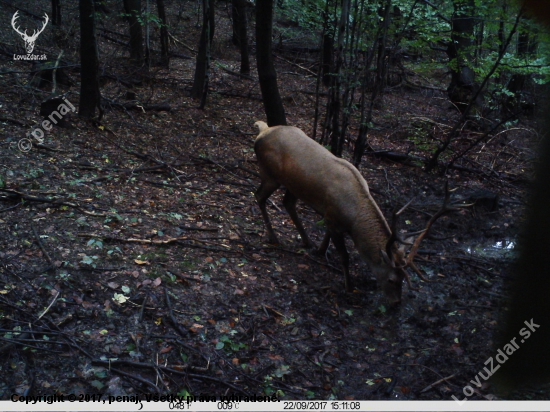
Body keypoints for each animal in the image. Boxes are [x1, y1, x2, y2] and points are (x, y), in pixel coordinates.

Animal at [256, 120, 466, 304]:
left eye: (403, 280)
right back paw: (273, 237)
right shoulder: (333, 219)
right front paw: (349, 286)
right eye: (392, 279)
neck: (353, 219)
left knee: (287, 203)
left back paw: (307, 241)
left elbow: (327, 237)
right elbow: (345, 256)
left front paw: (320, 250)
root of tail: (262, 131)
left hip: (293, 185)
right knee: (259, 197)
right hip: (270, 174)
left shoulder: (329, 216)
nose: (396, 302)